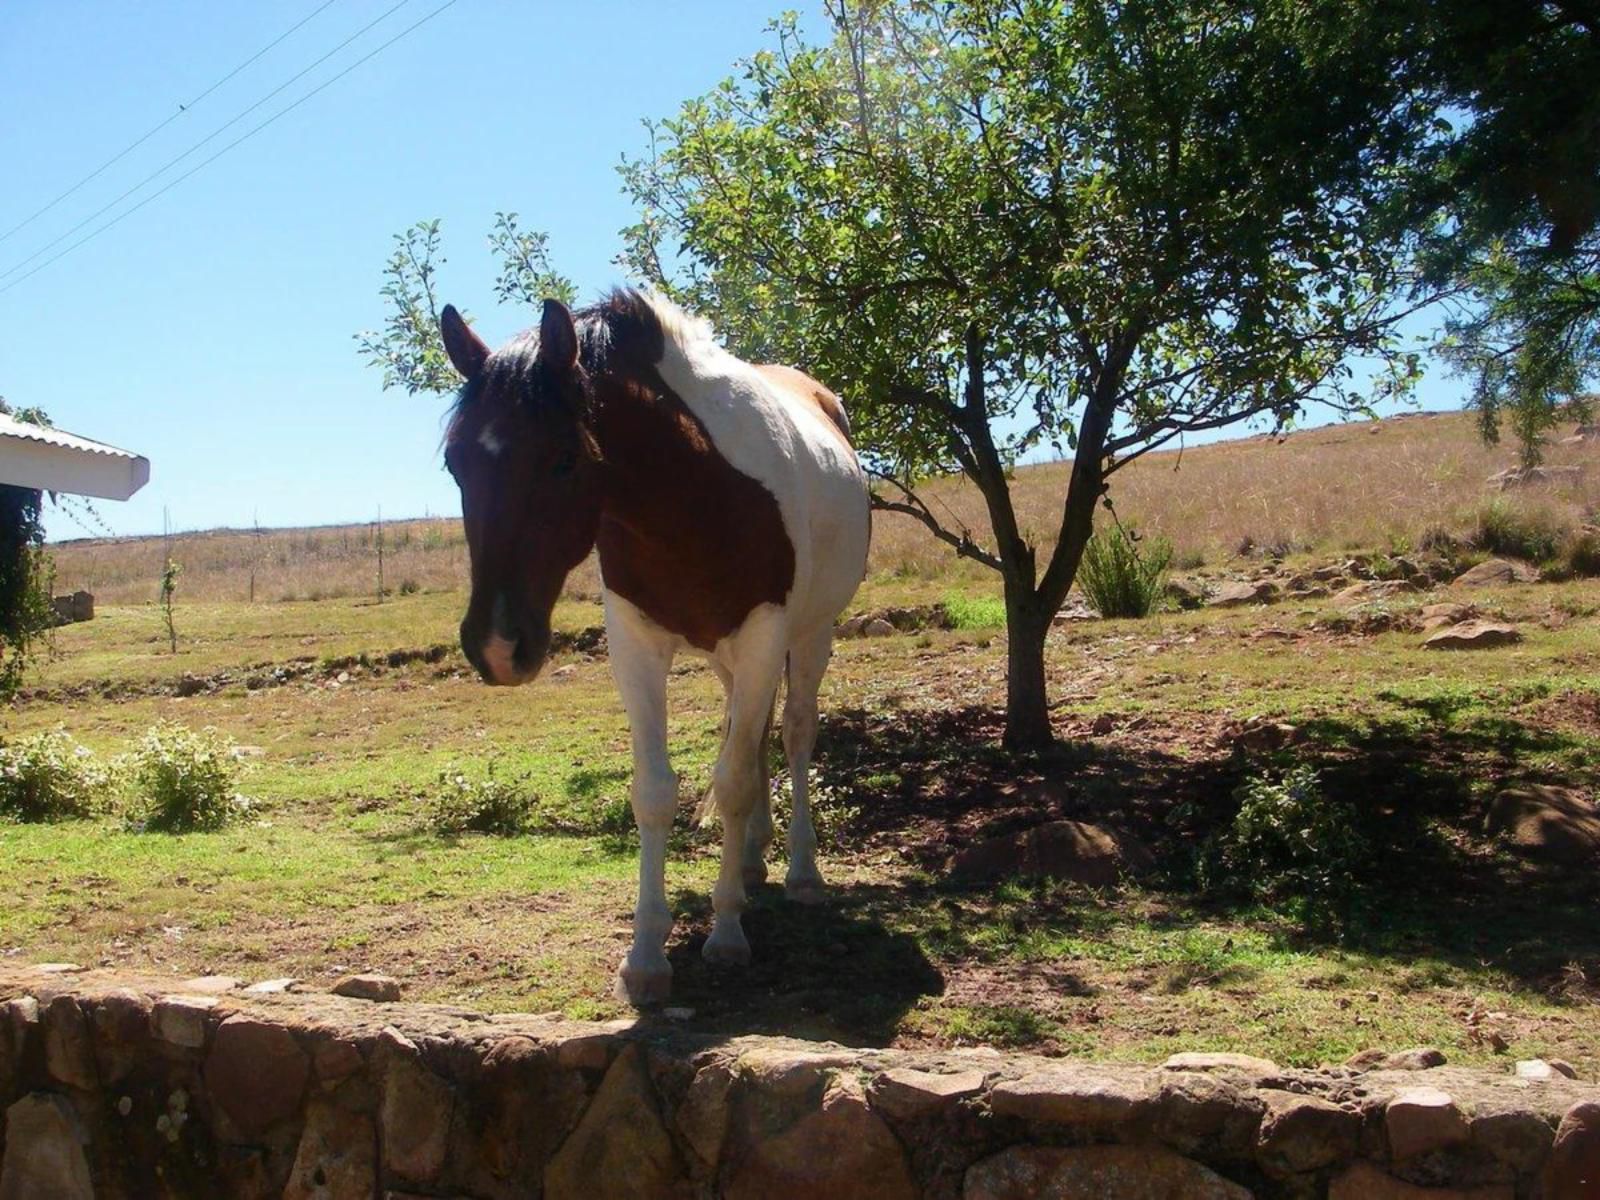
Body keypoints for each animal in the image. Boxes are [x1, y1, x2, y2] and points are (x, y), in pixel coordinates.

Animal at [438, 291, 870, 1004]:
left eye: (564, 459)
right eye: (455, 463)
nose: (498, 646)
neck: (694, 493)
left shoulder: (764, 634)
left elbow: (732, 780)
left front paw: (726, 933)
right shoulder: (635, 644)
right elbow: (657, 792)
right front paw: (645, 954)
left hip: (810, 636)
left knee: (795, 733)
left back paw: (801, 871)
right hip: (731, 661)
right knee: (752, 738)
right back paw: (752, 859)